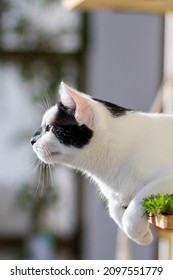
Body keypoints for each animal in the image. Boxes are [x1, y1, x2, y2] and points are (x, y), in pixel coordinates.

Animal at [30, 81, 173, 245]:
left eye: (50, 128)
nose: (32, 140)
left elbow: (142, 195)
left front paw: (138, 230)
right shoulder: (115, 197)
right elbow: (113, 208)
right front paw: (140, 234)